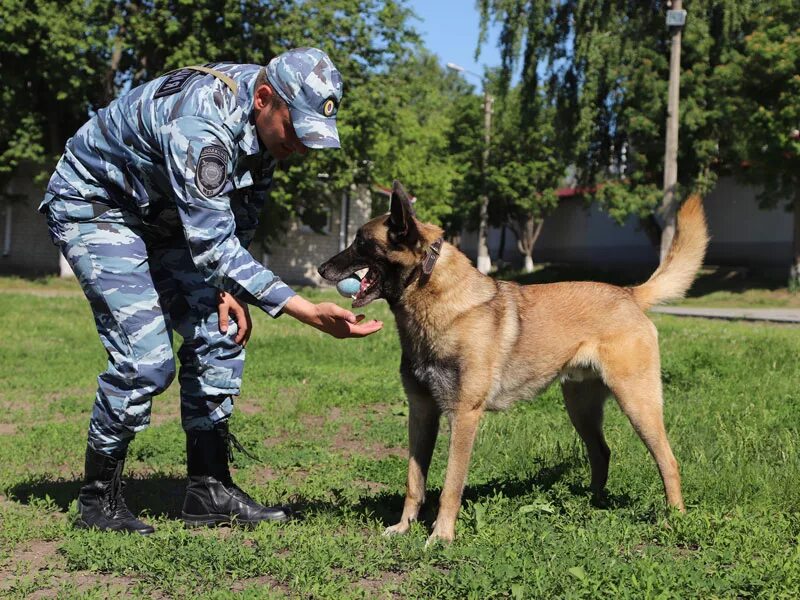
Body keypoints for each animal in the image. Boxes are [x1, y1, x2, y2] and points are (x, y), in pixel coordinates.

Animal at [318, 180, 708, 548]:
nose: (321, 268)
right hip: (580, 408)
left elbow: (451, 486)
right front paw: (404, 527)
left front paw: (441, 535)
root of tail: (629, 293)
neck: (435, 301)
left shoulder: (464, 416)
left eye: (361, 243)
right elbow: (414, 481)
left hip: (637, 403)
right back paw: (592, 504)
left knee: (668, 461)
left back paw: (674, 518)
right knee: (602, 452)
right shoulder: (422, 412)